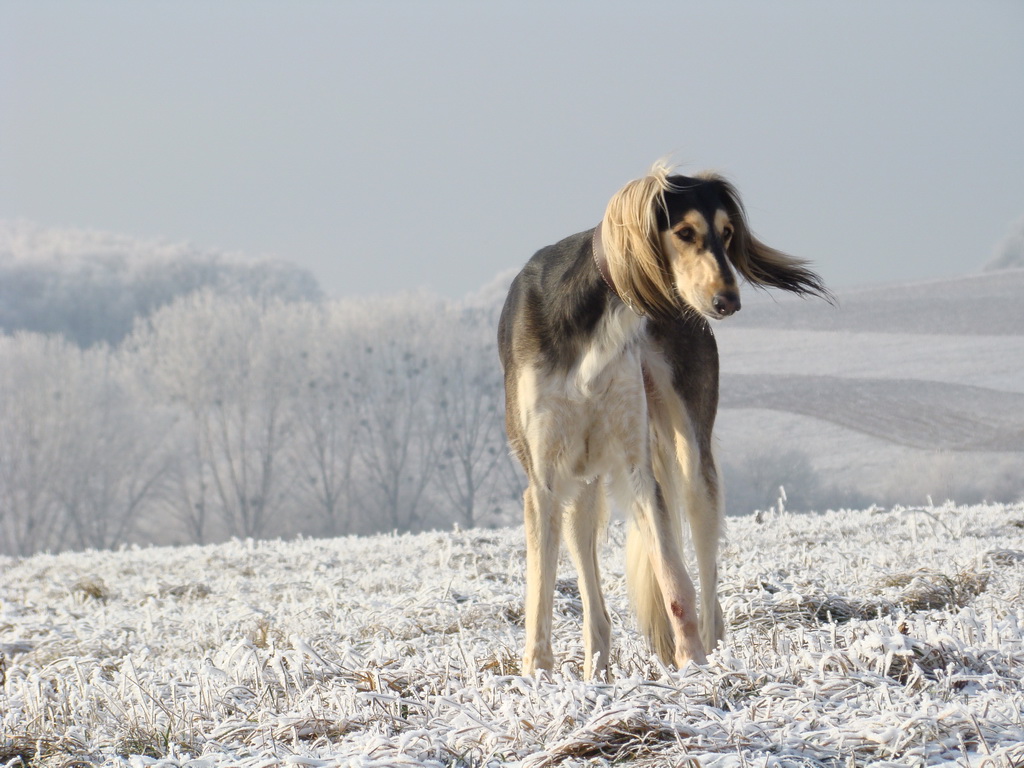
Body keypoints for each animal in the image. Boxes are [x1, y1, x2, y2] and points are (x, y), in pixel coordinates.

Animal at [497, 162, 831, 679]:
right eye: (685, 232)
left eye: (727, 233)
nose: (728, 300)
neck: (596, 313)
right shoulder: (545, 481)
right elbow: (540, 595)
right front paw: (536, 677)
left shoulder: (638, 470)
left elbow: (676, 584)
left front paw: (693, 668)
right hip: (581, 488)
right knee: (593, 596)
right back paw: (596, 674)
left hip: (692, 461)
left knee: (707, 585)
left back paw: (715, 656)